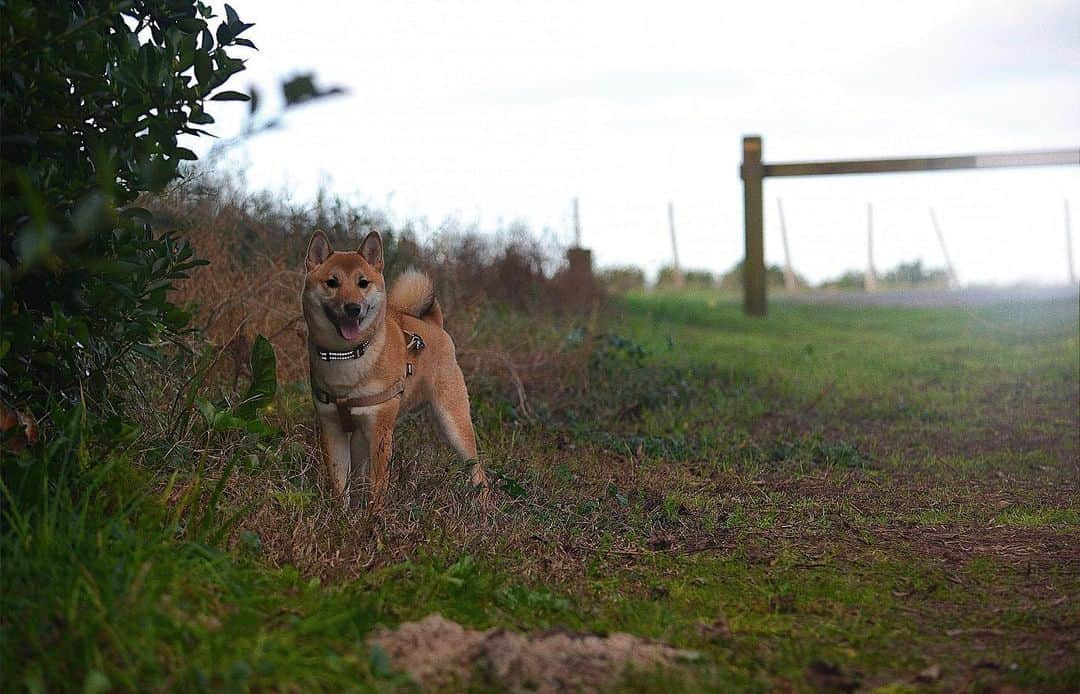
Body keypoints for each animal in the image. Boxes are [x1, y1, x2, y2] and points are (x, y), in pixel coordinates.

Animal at [304, 230, 490, 507]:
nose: (353, 308)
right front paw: (340, 514)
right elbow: (340, 485)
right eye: (332, 282)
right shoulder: (332, 427)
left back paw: (483, 504)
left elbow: (377, 488)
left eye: (363, 283)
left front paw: (372, 516)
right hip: (361, 436)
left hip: (453, 422)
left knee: (478, 469)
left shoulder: (380, 430)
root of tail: (434, 325)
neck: (347, 356)